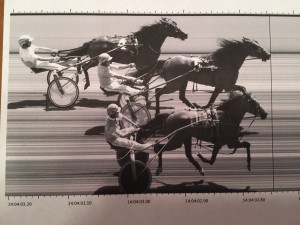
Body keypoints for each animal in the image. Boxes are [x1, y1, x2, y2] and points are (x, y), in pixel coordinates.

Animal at [60, 17, 188, 89]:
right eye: (172, 26)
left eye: (175, 24)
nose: (185, 34)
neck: (145, 43)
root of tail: (94, 41)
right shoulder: (142, 64)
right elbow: (143, 76)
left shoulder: (149, 64)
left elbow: (146, 75)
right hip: (96, 59)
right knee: (85, 67)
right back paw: (86, 84)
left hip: (95, 60)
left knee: (85, 67)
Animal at [138, 90, 268, 177]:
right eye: (253, 101)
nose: (265, 114)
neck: (226, 117)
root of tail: (170, 115)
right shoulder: (229, 142)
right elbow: (214, 159)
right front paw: (249, 164)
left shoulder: (223, 143)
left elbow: (215, 158)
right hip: (176, 140)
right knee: (158, 147)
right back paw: (159, 169)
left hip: (185, 138)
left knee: (187, 154)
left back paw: (199, 168)